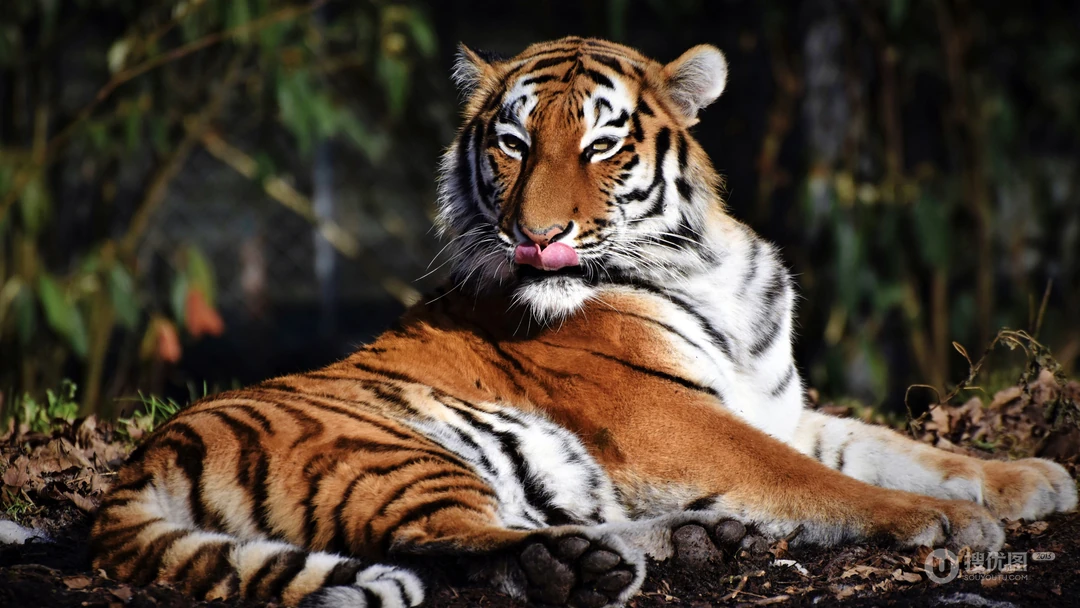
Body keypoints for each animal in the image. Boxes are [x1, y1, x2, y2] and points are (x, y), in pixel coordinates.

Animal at [90, 36, 1077, 608]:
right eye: (513, 142)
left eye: (602, 144)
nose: (537, 236)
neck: (706, 263)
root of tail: (136, 466)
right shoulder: (672, 420)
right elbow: (825, 482)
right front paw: (945, 524)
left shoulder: (776, 407)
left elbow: (900, 448)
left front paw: (1032, 479)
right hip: (388, 447)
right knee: (444, 540)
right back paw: (586, 567)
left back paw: (684, 540)